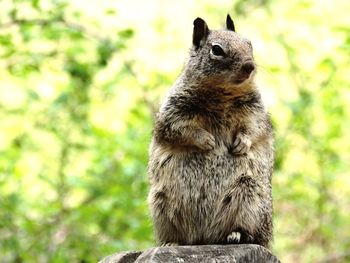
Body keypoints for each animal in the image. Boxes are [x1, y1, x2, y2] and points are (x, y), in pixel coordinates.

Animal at [146, 14, 274, 250]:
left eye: (249, 43)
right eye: (217, 50)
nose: (250, 66)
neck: (221, 93)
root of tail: (204, 237)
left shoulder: (255, 111)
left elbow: (254, 129)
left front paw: (241, 144)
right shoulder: (174, 112)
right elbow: (178, 128)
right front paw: (207, 141)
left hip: (249, 196)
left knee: (250, 234)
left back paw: (236, 235)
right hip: (161, 204)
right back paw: (172, 243)